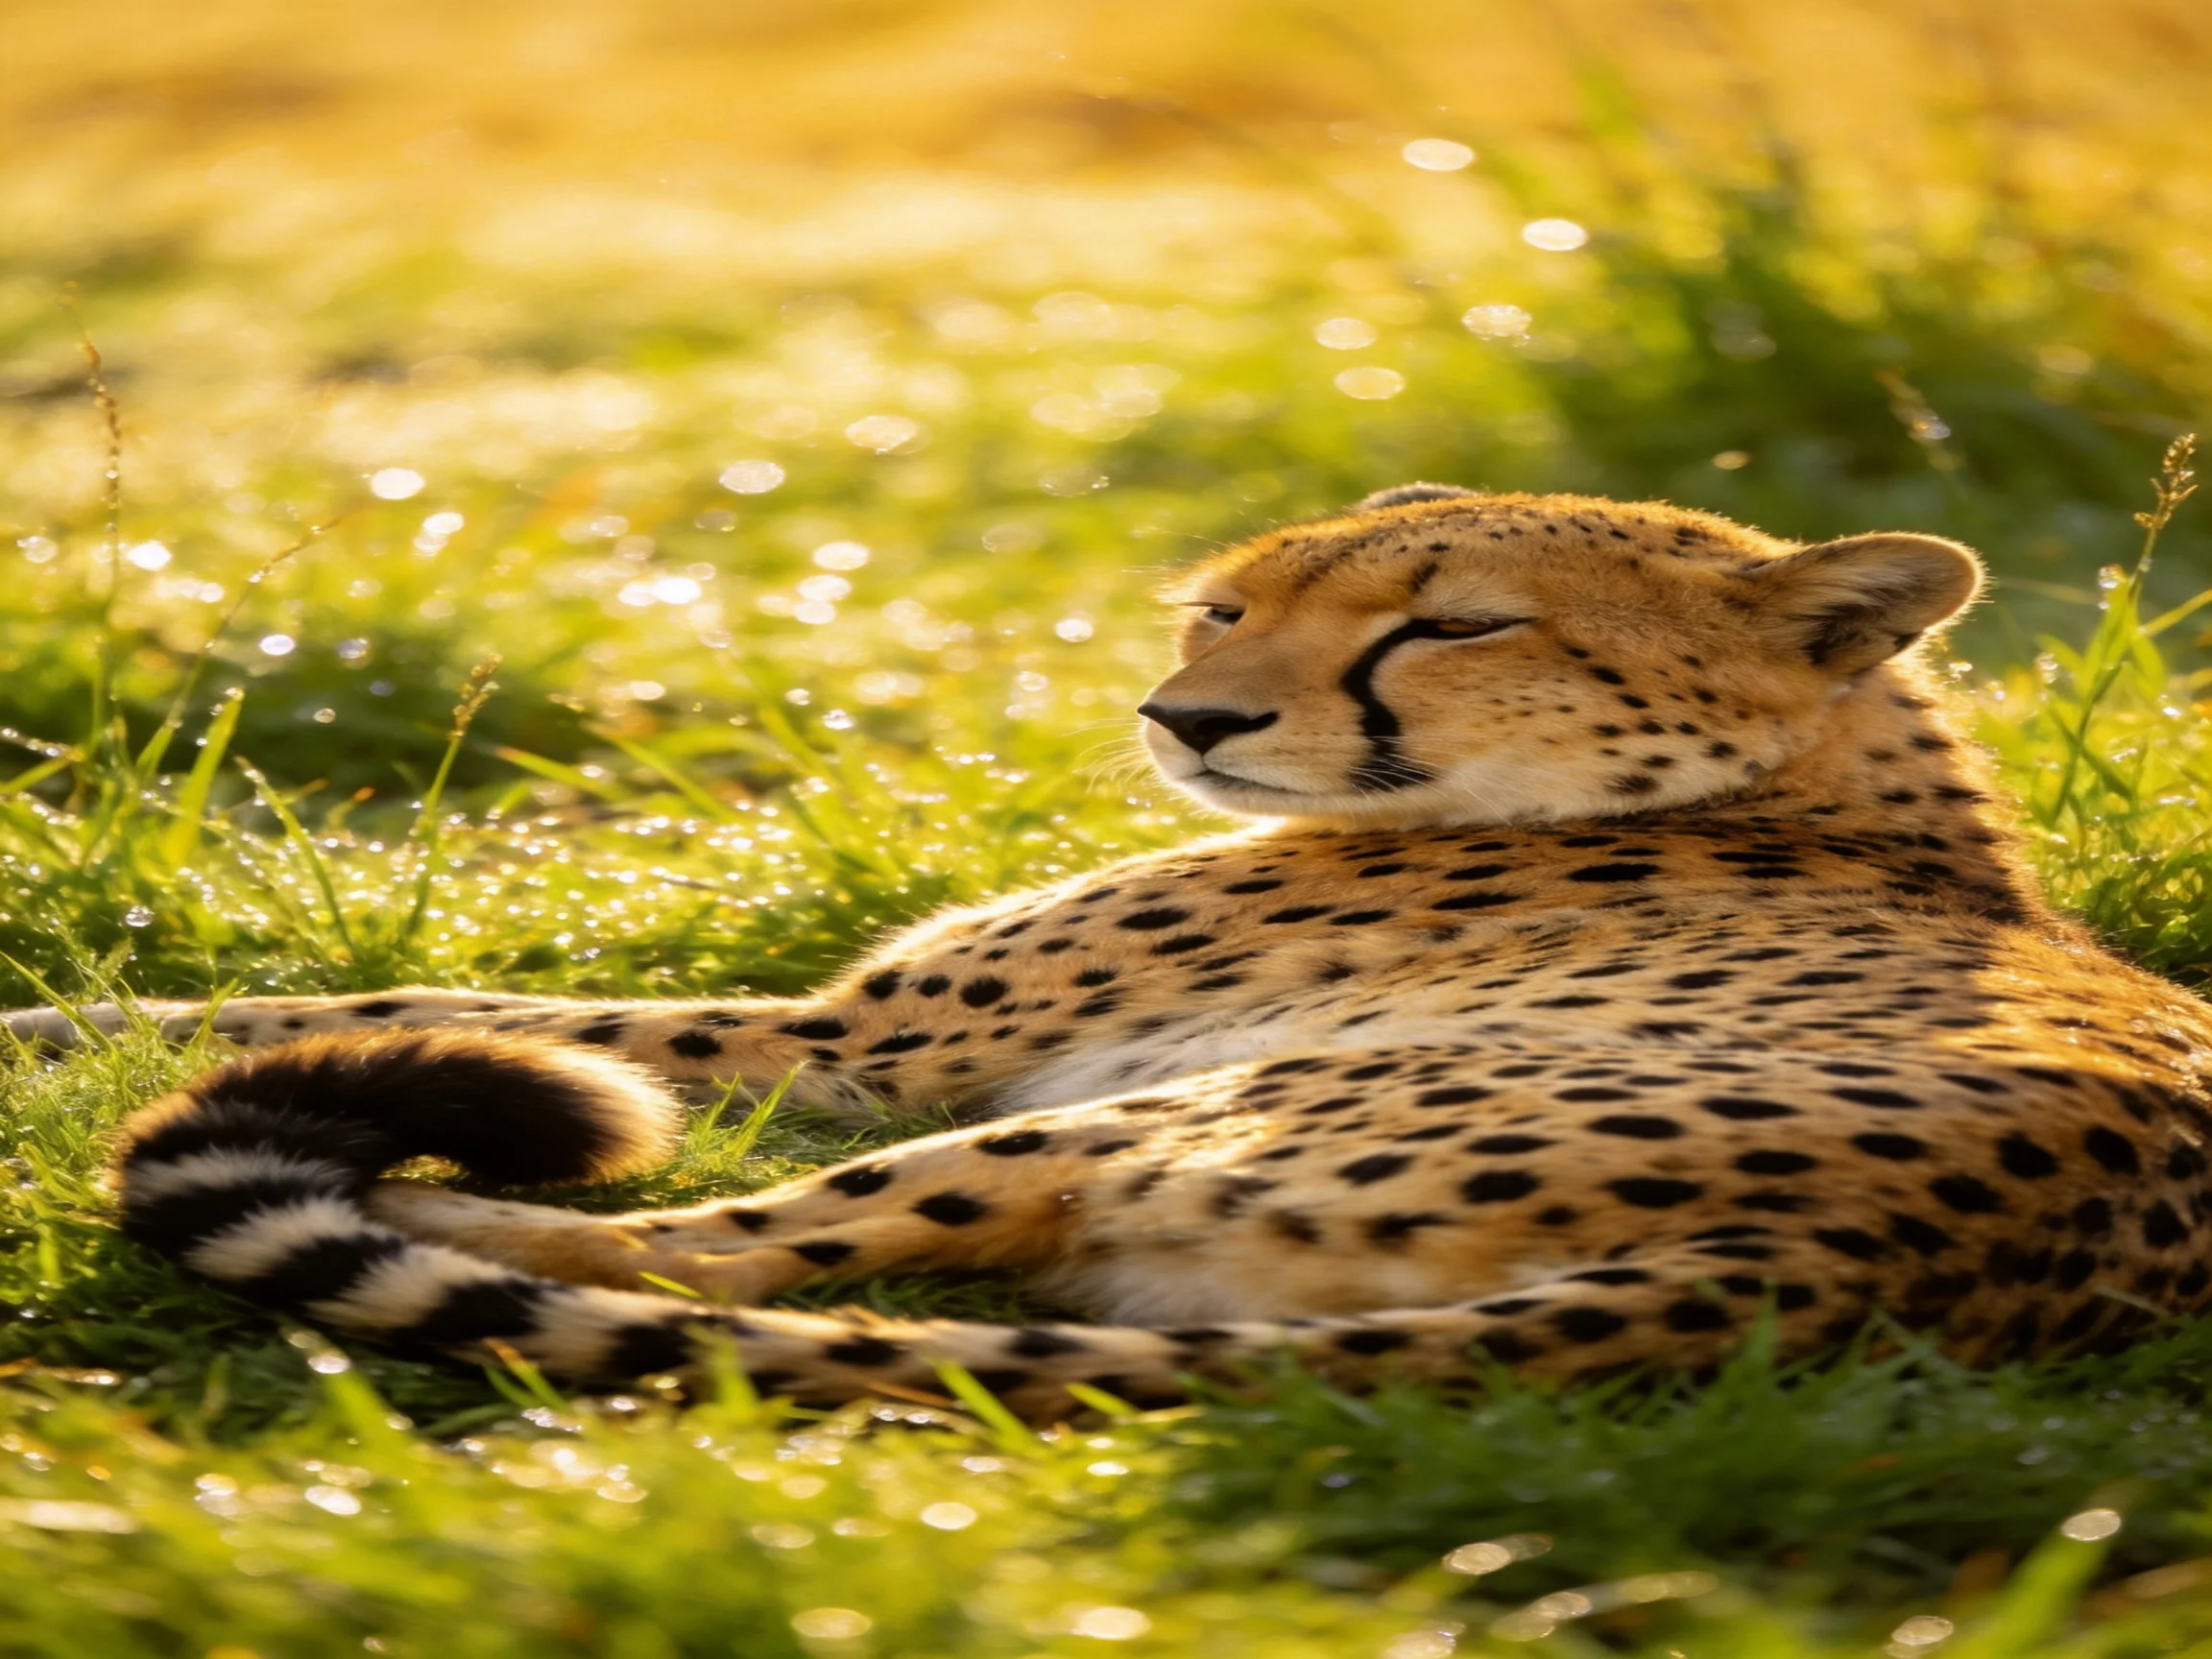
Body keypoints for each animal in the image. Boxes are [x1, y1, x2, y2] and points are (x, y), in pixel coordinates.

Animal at [14, 485, 2212, 1419]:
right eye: (1220, 604)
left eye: (1450, 623)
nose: (1189, 719)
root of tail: (1849, 1268)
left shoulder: (851, 1040)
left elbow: (394, 1004)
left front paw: (66, 1029)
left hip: (1152, 1111)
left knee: (675, 1253)